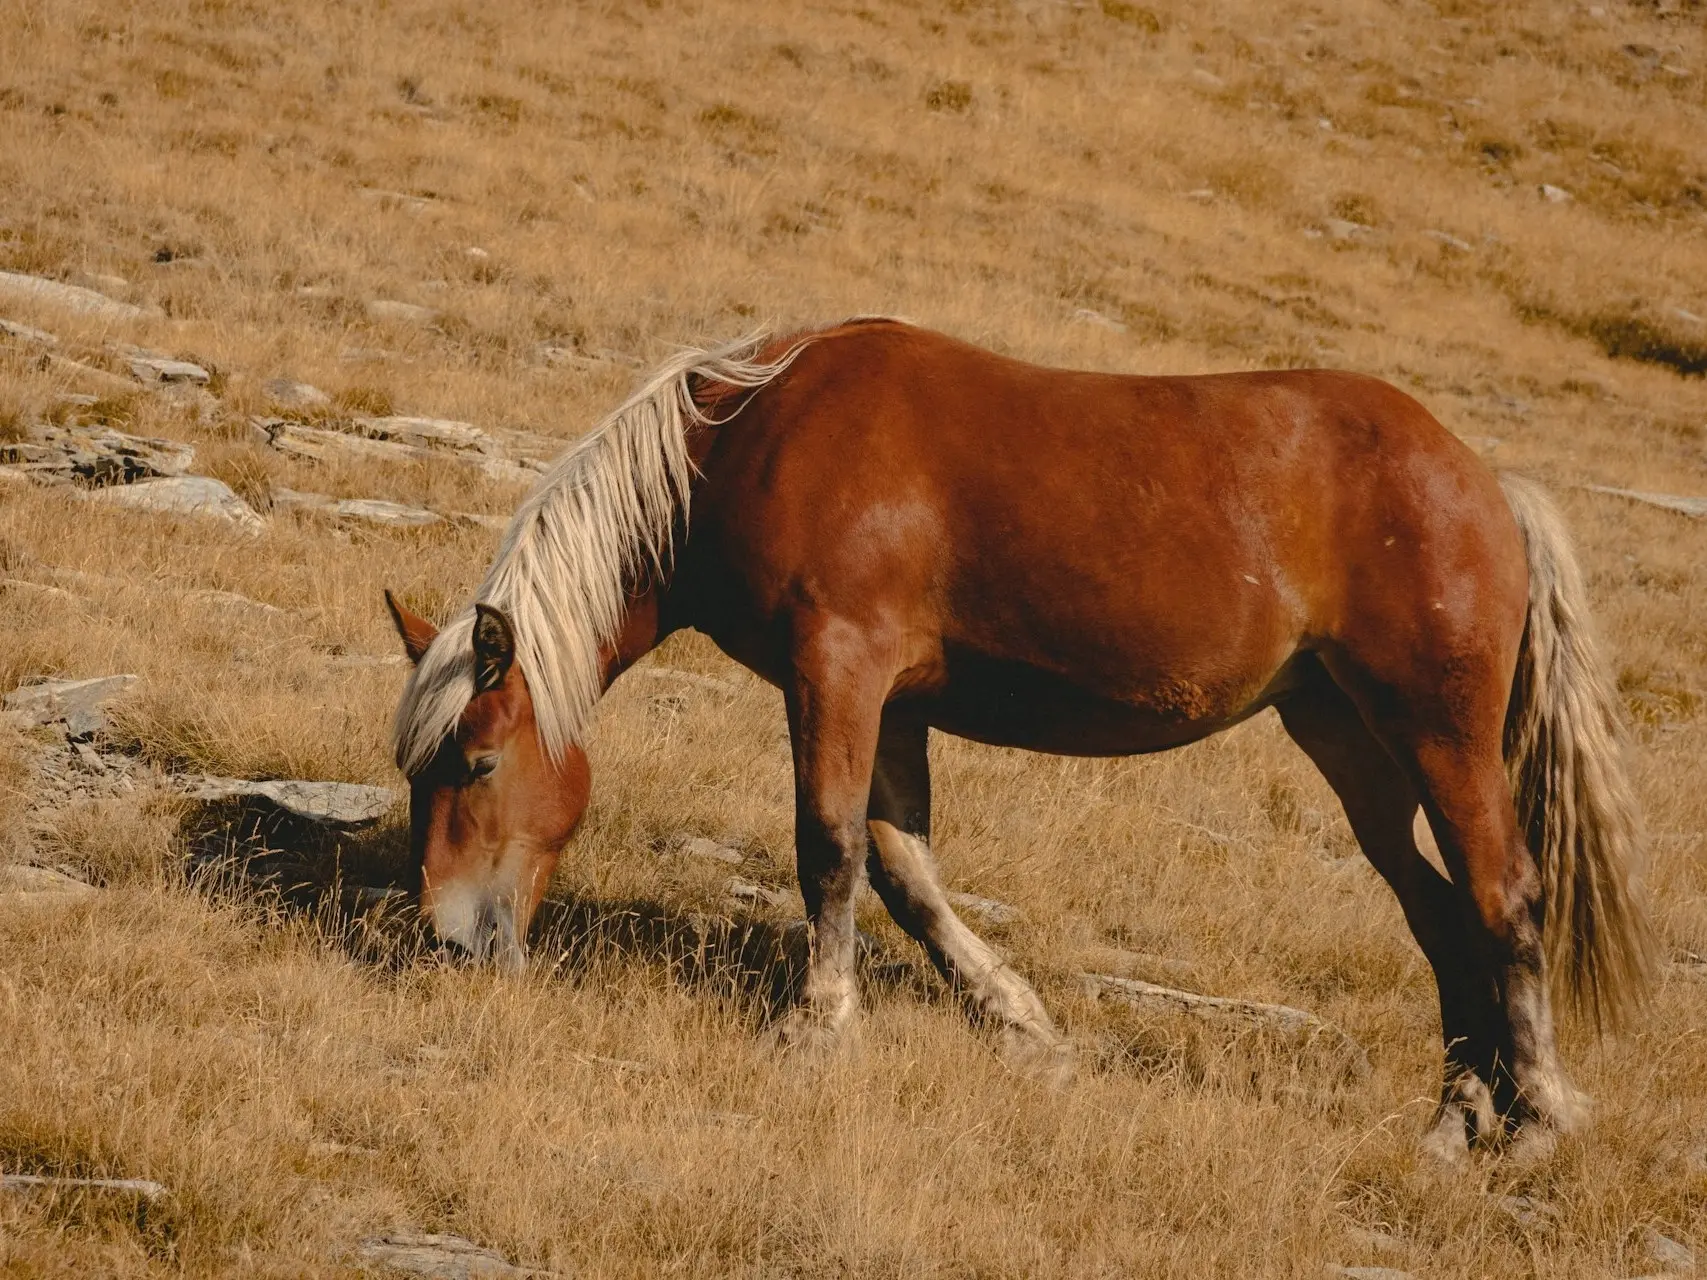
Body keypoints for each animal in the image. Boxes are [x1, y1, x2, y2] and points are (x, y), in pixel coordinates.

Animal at [387, 319, 1652, 1153]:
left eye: (479, 762)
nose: (445, 939)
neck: (752, 435)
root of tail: (1487, 482)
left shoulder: (838, 670)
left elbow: (828, 846)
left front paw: (819, 1024)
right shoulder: (893, 702)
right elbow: (906, 869)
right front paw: (1024, 1024)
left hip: (1441, 737)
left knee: (1505, 898)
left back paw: (1538, 1118)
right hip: (1349, 741)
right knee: (1440, 915)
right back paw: (1456, 1115)